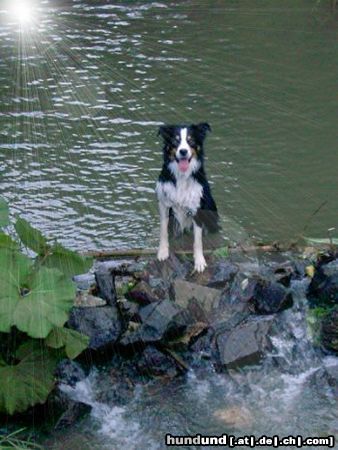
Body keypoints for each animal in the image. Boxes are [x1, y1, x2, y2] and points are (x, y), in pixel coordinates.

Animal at [155, 121, 219, 272]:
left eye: (191, 141)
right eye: (175, 141)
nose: (183, 151)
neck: (182, 176)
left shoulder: (197, 207)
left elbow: (198, 240)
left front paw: (199, 261)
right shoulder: (164, 204)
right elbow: (163, 231)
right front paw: (163, 252)